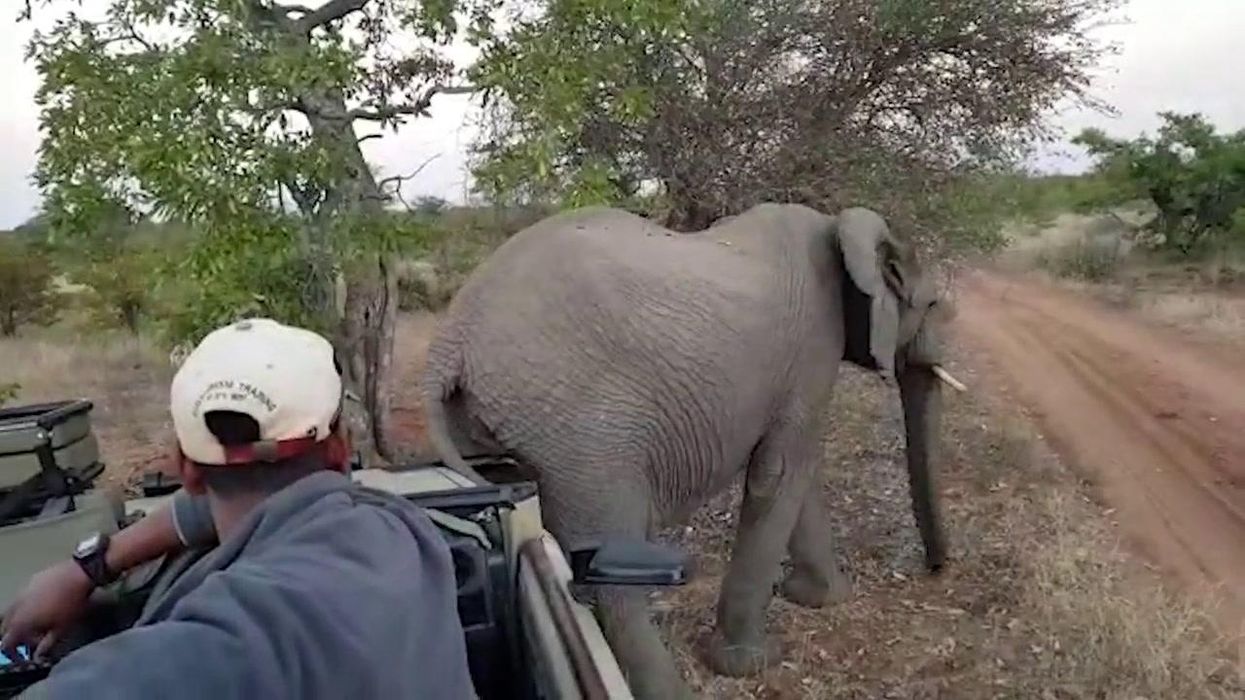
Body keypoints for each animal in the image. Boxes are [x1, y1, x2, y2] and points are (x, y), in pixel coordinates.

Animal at [418, 202, 961, 698]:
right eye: (934, 305)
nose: (936, 570)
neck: (839, 226)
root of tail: (452, 339)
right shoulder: (812, 346)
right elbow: (783, 470)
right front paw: (750, 663)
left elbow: (796, 473)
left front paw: (821, 599)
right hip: (581, 430)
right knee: (612, 571)